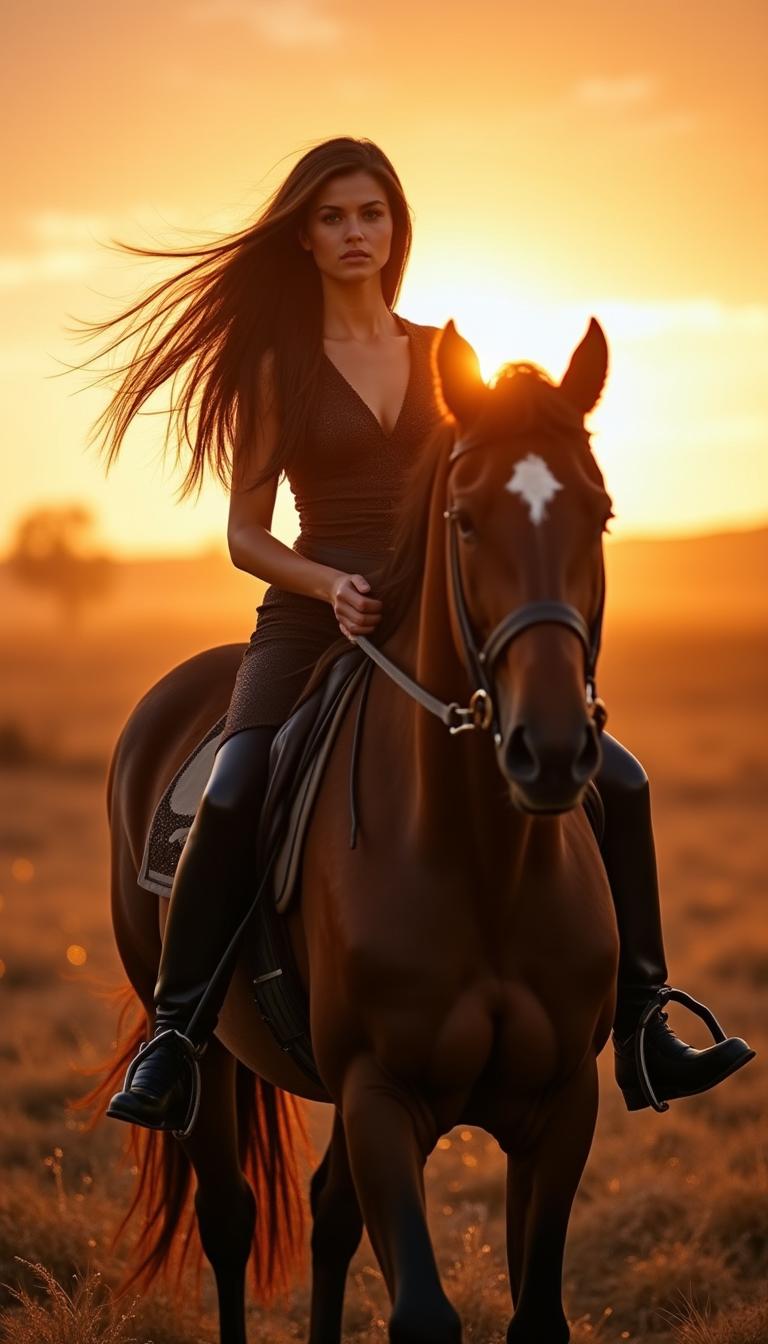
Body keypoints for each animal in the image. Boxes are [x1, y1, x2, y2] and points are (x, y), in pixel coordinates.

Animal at [94, 317, 618, 1344]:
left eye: (603, 514)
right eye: (465, 520)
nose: (548, 751)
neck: (482, 863)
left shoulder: (561, 1103)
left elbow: (535, 1313)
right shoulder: (381, 1095)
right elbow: (421, 1312)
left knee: (330, 1217)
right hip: (203, 1057)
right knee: (229, 1216)